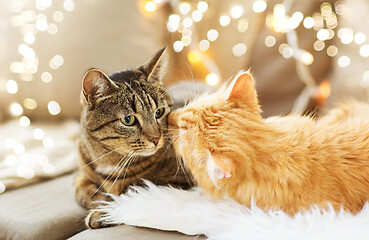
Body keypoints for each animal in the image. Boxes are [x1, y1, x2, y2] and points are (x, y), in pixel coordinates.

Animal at [73, 48, 191, 229]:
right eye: (128, 119)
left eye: (159, 112)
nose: (156, 138)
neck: (109, 161)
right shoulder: (81, 174)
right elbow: (82, 190)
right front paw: (101, 202)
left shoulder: (179, 179)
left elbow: (135, 191)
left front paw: (106, 212)